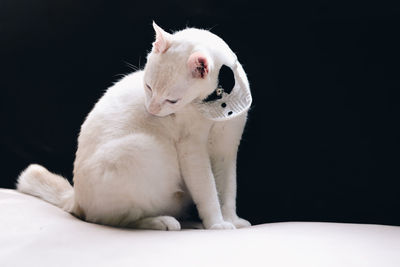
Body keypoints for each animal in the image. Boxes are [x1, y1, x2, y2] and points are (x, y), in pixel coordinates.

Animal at [18, 22, 253, 230]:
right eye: (148, 87)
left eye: (172, 100)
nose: (152, 110)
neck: (217, 106)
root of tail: (76, 198)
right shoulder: (192, 150)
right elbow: (207, 190)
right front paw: (216, 223)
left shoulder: (227, 149)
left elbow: (228, 189)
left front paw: (231, 219)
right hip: (139, 149)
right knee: (113, 219)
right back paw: (162, 222)